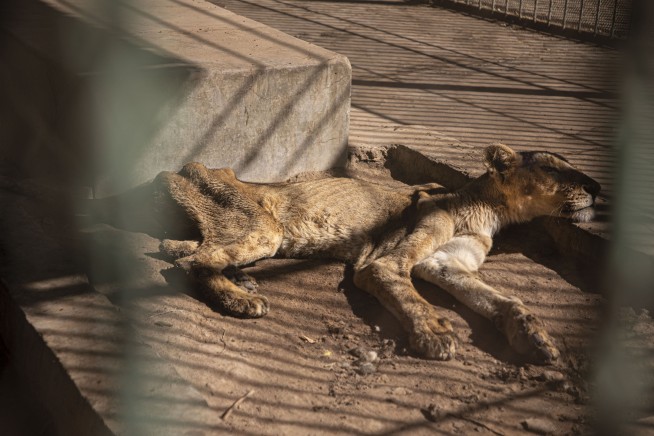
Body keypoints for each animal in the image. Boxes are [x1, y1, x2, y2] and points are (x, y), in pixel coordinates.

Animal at [149, 143, 600, 364]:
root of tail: (182, 168)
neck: (492, 212)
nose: (596, 186)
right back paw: (242, 299)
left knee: (181, 250)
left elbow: (503, 300)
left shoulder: (444, 262)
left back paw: (238, 277)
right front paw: (434, 333)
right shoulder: (387, 260)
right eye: (552, 169)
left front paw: (534, 336)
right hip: (264, 229)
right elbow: (404, 289)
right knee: (195, 261)